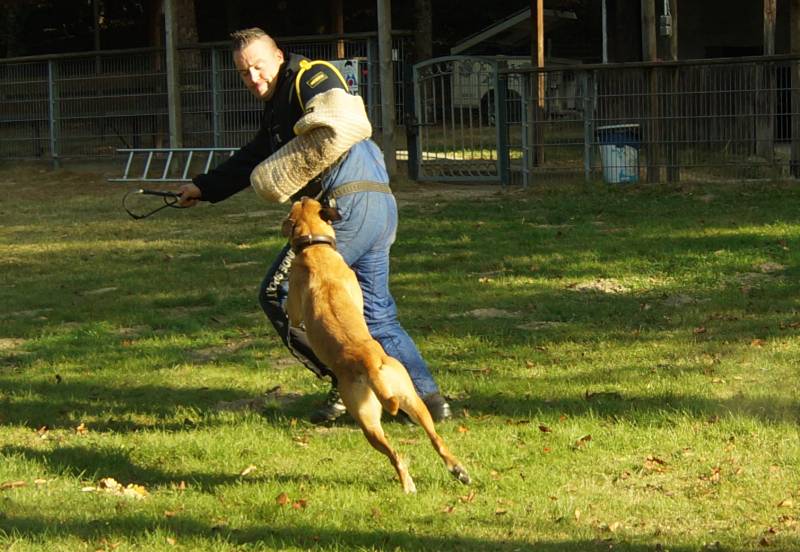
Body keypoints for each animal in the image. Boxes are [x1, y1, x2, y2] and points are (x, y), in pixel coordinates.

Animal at [282, 197, 470, 493]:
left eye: (303, 201)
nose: (301, 196)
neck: (316, 250)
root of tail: (368, 363)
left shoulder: (296, 311)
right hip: (411, 400)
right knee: (435, 439)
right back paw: (458, 470)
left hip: (367, 422)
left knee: (396, 456)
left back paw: (408, 486)